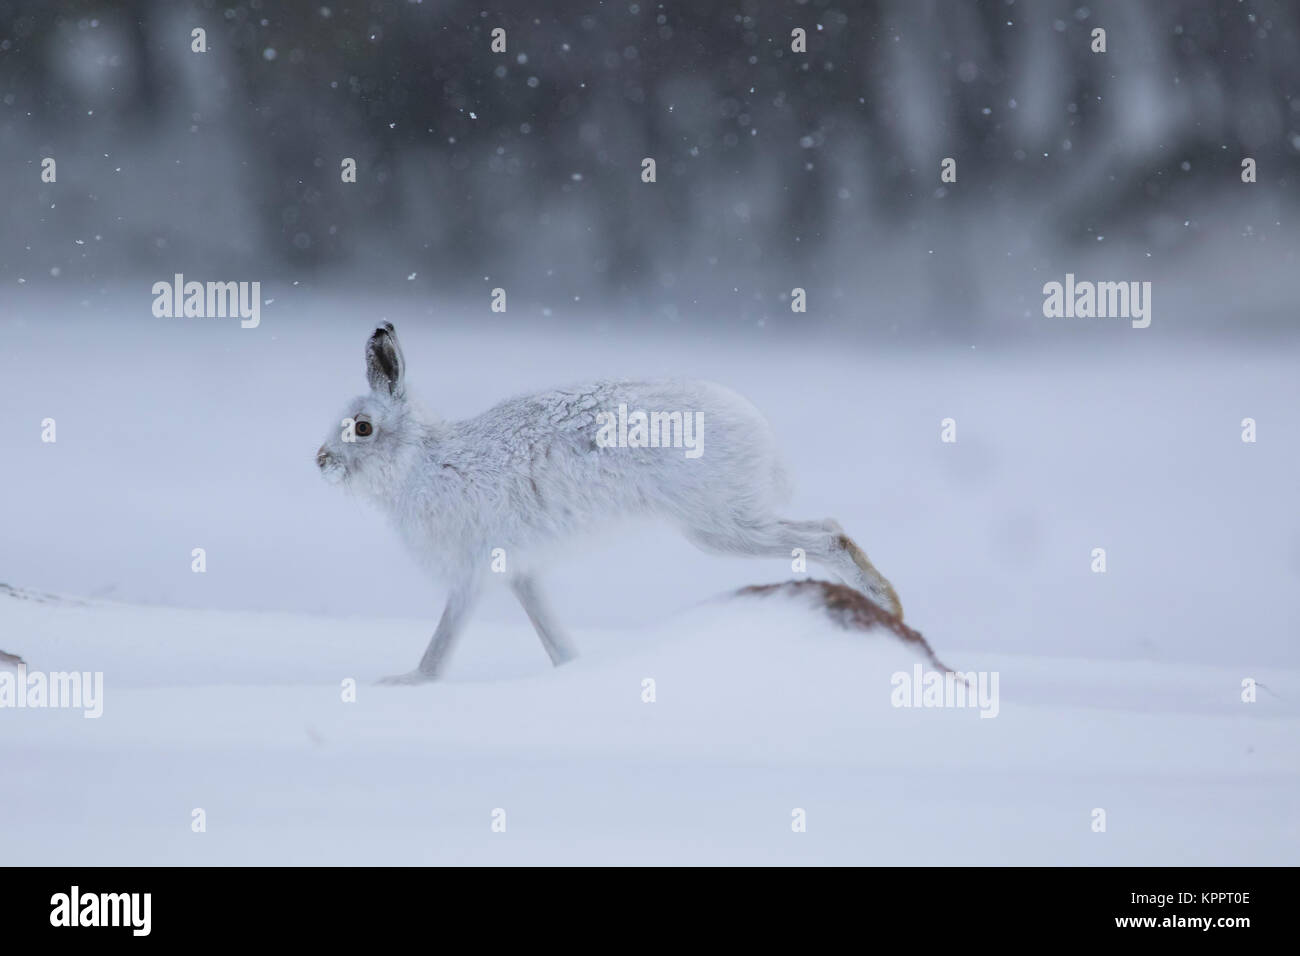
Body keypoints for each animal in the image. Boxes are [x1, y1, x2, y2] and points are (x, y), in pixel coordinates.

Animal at [316, 323, 903, 684]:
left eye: (362, 428)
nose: (320, 461)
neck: (425, 459)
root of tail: (760, 430)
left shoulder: (470, 572)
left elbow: (442, 643)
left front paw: (406, 682)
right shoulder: (521, 573)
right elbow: (554, 639)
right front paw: (573, 671)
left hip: (720, 525)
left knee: (829, 535)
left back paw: (887, 603)